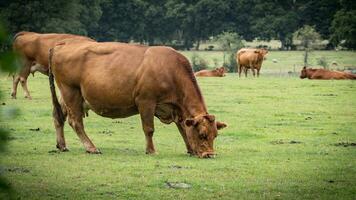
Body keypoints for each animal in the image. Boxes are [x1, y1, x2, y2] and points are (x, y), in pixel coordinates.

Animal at [48, 40, 227, 159]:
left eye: (215, 135)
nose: (210, 154)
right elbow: (149, 129)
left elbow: (183, 129)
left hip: (68, 96)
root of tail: (61, 45)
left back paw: (62, 145)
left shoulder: (176, 108)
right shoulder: (146, 101)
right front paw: (151, 150)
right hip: (71, 92)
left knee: (58, 117)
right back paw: (91, 147)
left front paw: (190, 149)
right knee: (76, 122)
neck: (171, 70)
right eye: (202, 134)